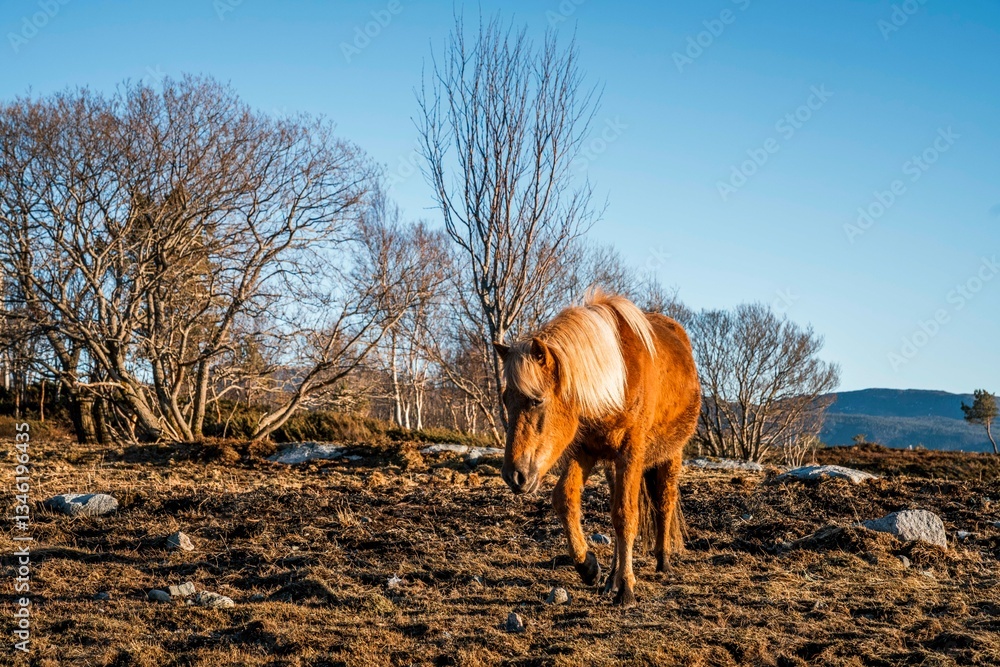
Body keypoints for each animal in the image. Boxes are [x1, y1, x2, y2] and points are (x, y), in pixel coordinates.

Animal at [493, 289, 700, 605]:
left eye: (537, 400)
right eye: (506, 399)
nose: (514, 476)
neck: (617, 381)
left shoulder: (630, 453)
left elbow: (626, 515)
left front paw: (626, 587)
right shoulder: (584, 451)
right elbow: (566, 499)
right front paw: (589, 567)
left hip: (669, 455)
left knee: (664, 501)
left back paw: (662, 560)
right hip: (613, 466)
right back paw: (611, 577)